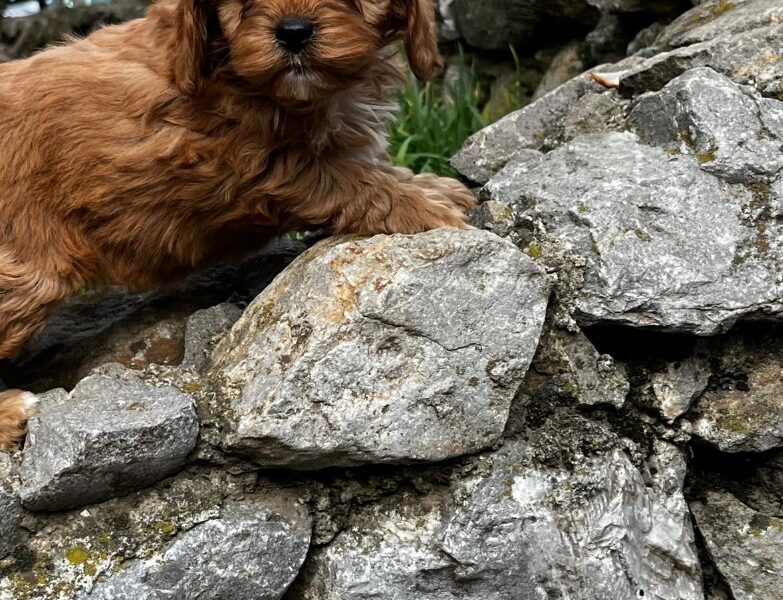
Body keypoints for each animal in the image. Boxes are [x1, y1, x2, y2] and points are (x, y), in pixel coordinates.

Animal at [0, 0, 478, 446]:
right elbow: (340, 174)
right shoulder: (249, 161)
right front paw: (420, 202)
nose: (293, 32)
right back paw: (11, 412)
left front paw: (426, 184)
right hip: (25, 275)